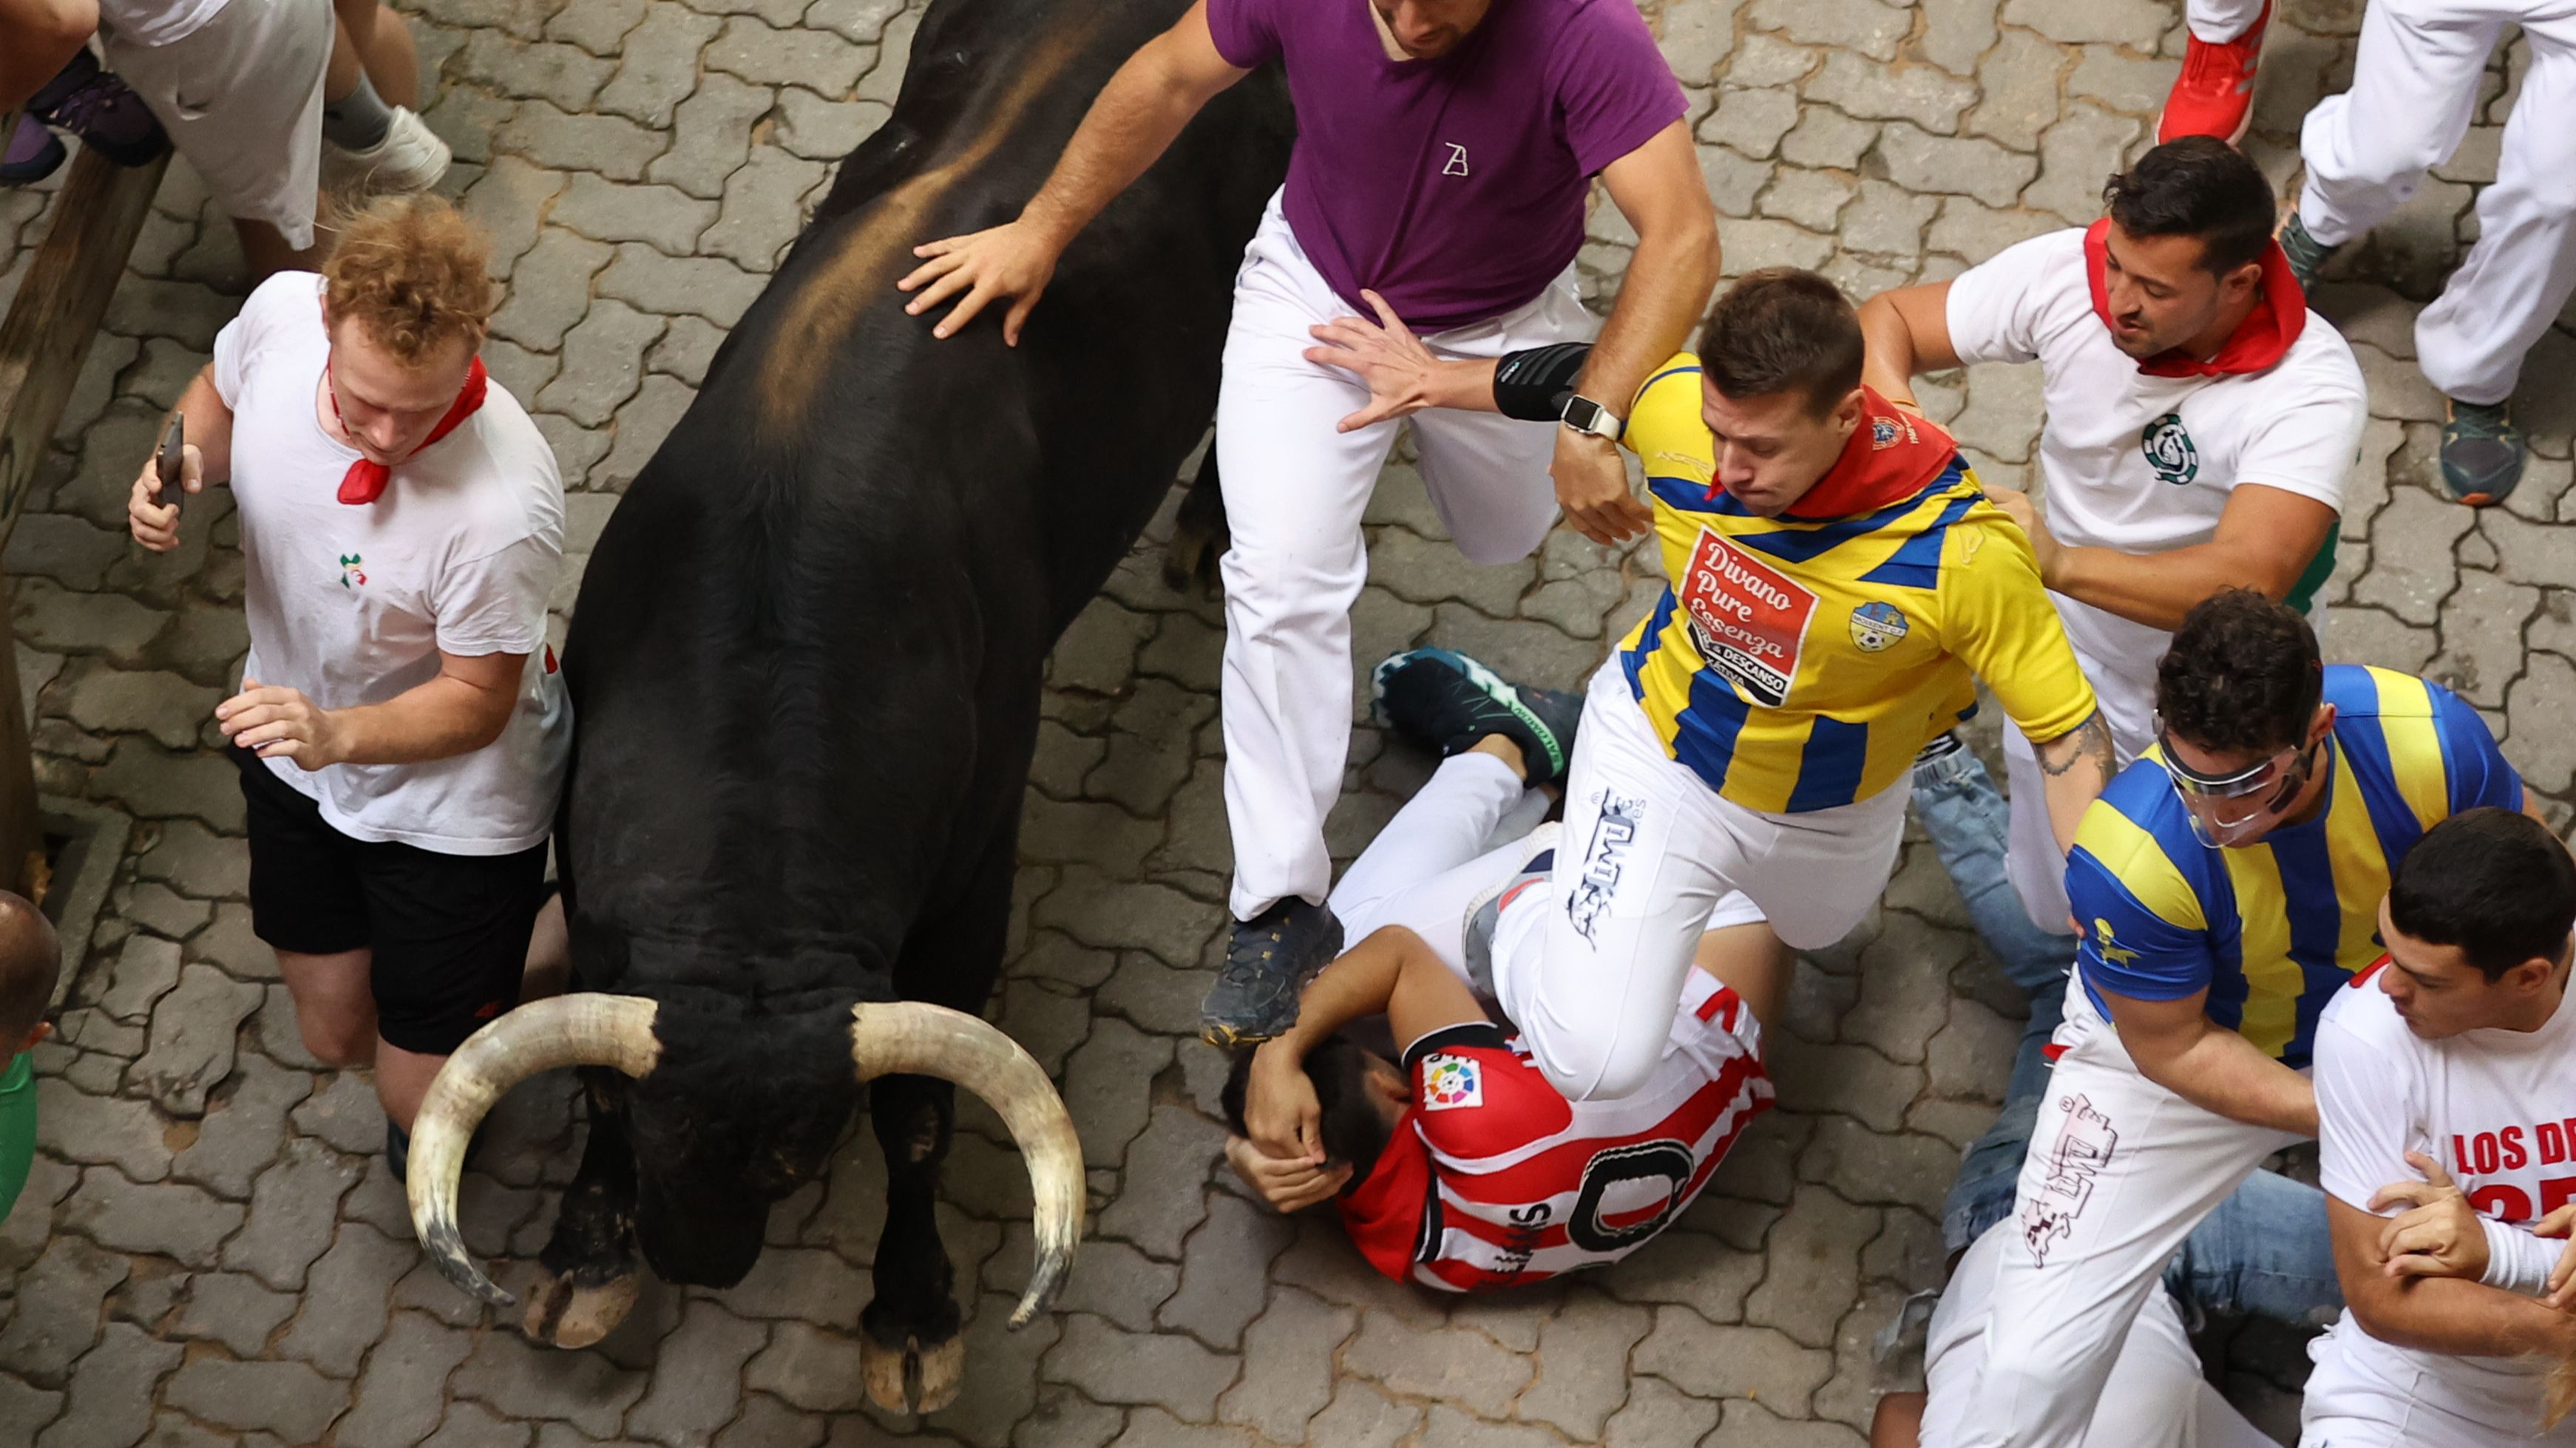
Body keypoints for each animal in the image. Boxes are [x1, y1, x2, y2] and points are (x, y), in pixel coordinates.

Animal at [399, 0, 1288, 1412]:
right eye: (647, 1129)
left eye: (794, 1158)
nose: (696, 1262)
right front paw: (585, 1258)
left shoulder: (971, 875)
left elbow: (918, 1113)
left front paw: (913, 1317)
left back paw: (1212, 528)